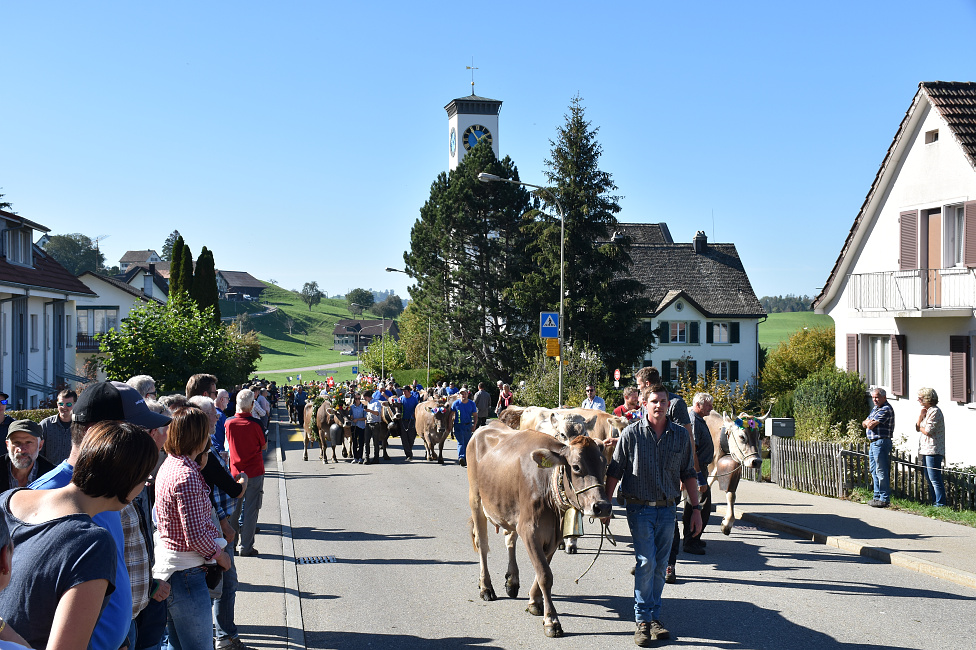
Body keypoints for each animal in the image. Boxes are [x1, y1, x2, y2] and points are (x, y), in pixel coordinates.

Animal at [466, 420, 608, 636]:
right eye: (576, 467)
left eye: (605, 465)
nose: (603, 506)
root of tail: (487, 425)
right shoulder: (529, 529)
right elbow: (545, 574)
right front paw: (551, 620)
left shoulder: (554, 535)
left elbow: (543, 568)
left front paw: (534, 601)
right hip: (476, 499)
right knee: (483, 545)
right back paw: (486, 588)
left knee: (509, 539)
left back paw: (512, 580)